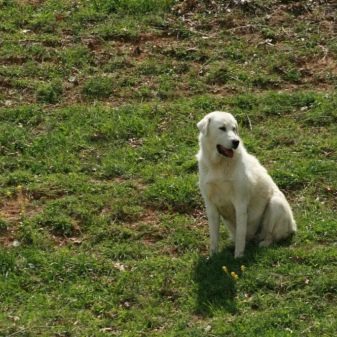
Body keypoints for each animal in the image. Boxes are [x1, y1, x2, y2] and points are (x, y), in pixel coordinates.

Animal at [196, 111, 296, 258]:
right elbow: (214, 236)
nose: (236, 142)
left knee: (270, 236)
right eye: (222, 128)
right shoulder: (210, 205)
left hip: (275, 203)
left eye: (234, 129)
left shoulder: (240, 203)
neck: (219, 165)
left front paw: (238, 256)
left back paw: (264, 244)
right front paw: (213, 256)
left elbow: (240, 234)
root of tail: (293, 226)